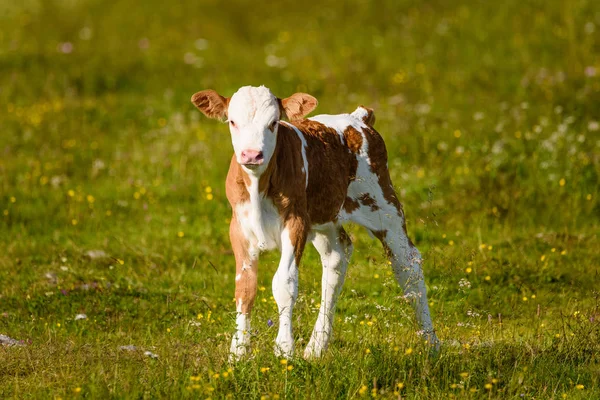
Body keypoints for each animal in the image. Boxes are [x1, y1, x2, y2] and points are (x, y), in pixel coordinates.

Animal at [192, 84, 440, 360]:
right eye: (232, 121)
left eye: (274, 122)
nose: (252, 154)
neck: (259, 186)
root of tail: (357, 118)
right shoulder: (238, 227)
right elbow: (245, 287)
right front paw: (238, 353)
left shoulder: (296, 222)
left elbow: (284, 283)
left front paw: (284, 349)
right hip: (325, 220)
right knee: (337, 257)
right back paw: (316, 347)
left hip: (384, 206)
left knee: (407, 263)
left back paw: (431, 344)